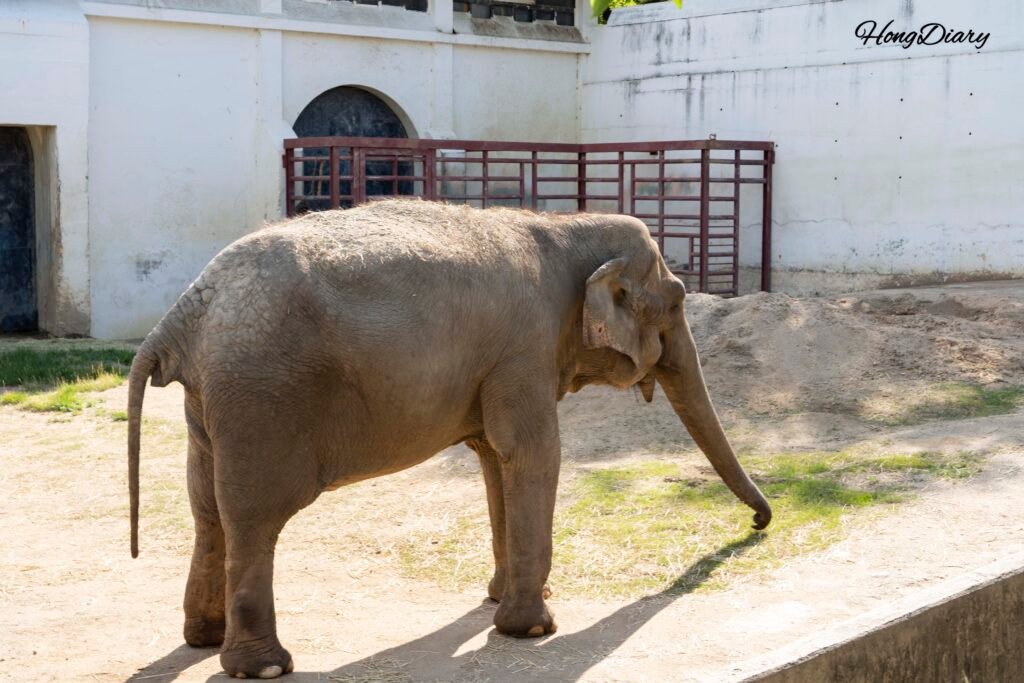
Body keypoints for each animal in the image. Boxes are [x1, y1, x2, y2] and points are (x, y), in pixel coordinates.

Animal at [126, 199, 771, 679]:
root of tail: (183, 313)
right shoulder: (523, 347)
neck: (565, 225)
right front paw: (532, 629)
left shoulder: (497, 363)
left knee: (207, 509)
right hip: (263, 398)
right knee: (254, 518)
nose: (760, 523)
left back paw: (203, 639)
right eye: (679, 301)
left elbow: (493, 457)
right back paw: (263, 667)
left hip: (211, 402)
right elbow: (533, 452)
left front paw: (500, 601)